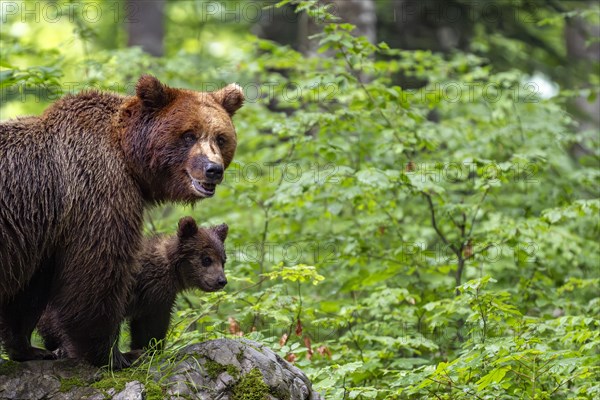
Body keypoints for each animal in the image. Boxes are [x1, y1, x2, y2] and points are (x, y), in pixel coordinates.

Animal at [38, 219, 227, 354]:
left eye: (223, 260)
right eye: (206, 259)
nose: (221, 281)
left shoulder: (154, 300)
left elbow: (146, 328)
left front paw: (147, 349)